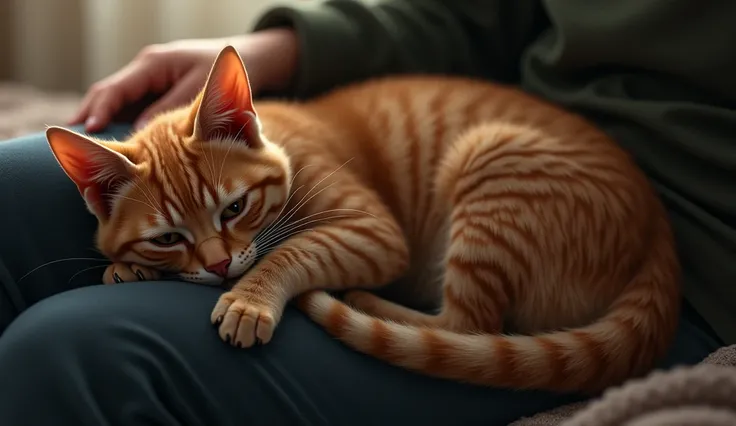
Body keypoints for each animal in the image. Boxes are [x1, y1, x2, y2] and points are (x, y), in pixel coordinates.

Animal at [44, 45, 680, 392]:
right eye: (169, 238)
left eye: (235, 208)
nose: (222, 266)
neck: (284, 143)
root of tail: (657, 231)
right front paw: (129, 269)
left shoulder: (376, 233)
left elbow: (292, 248)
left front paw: (251, 298)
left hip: (492, 163)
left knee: (469, 326)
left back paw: (366, 302)